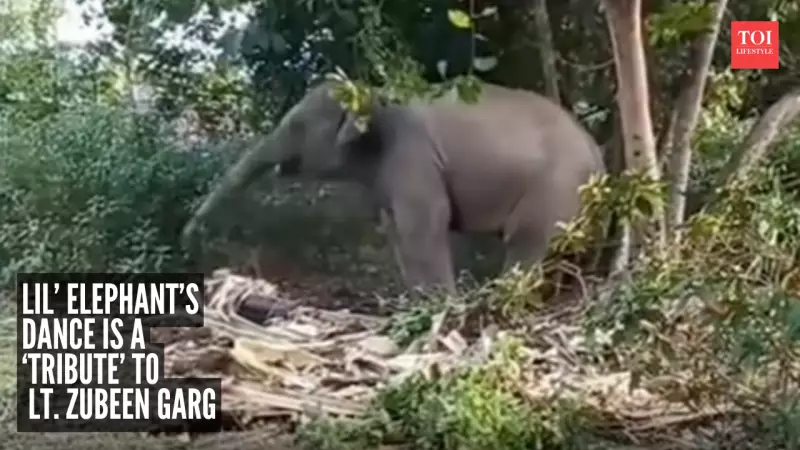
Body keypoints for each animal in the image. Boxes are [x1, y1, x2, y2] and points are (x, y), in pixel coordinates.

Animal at [181, 79, 606, 295]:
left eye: (297, 126)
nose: (189, 237)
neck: (373, 96)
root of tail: (599, 157)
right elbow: (396, 232)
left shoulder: (412, 156)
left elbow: (426, 224)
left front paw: (440, 308)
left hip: (555, 189)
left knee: (526, 243)